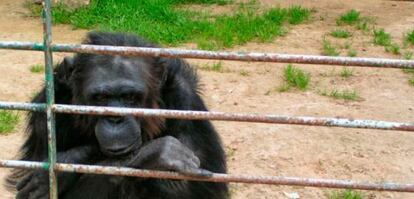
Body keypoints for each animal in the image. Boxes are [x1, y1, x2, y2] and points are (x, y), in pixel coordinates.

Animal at [6, 31, 228, 198]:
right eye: (101, 97)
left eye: (130, 97)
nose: (115, 118)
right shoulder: (52, 103)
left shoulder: (186, 102)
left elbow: (187, 189)